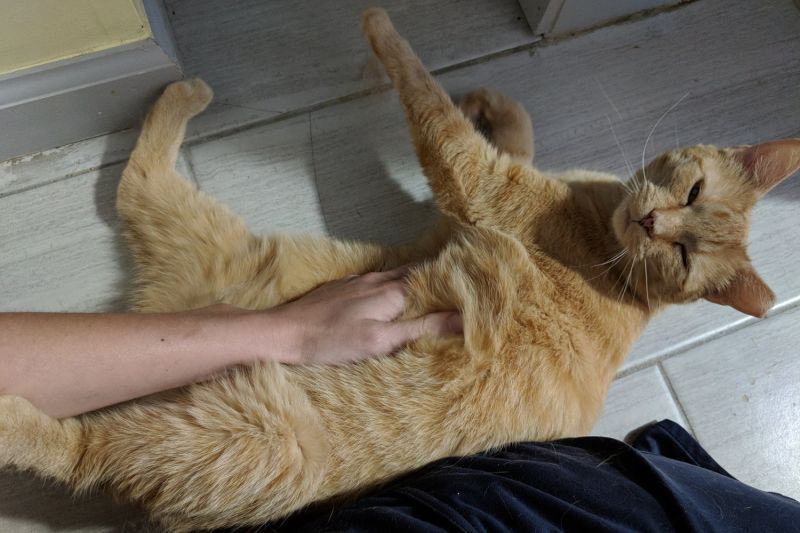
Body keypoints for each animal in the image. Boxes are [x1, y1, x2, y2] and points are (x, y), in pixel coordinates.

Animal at [1, 8, 800, 532]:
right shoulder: (476, 196)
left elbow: (423, 92)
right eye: (692, 197)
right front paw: (492, 101)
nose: (653, 225)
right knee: (137, 181)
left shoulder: (475, 182)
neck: (611, 245)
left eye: (684, 254)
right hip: (194, 238)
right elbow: (513, 129)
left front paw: (382, 26)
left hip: (227, 425)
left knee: (80, 449)